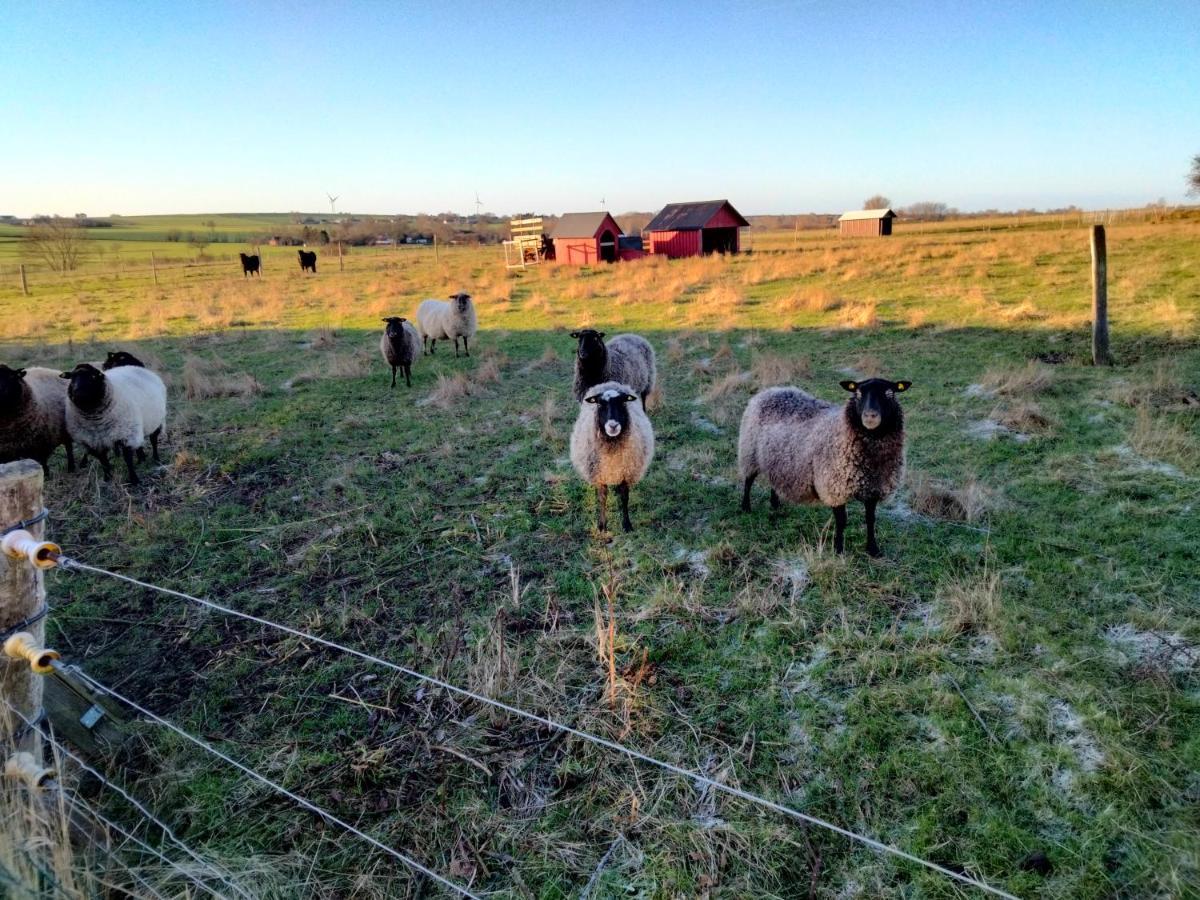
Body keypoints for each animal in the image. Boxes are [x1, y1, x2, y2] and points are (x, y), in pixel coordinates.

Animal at [568, 381, 657, 535]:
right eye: (599, 404)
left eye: (622, 402)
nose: (613, 425)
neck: (612, 449)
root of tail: (609, 382)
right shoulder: (599, 475)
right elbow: (602, 498)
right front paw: (602, 526)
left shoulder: (626, 472)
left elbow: (624, 498)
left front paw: (627, 525)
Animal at [734, 374, 912, 556]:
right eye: (858, 393)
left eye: (890, 394)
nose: (870, 416)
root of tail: (771, 390)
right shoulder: (834, 487)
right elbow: (841, 521)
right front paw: (838, 549)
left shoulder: (874, 489)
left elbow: (870, 519)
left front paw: (873, 549)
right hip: (749, 452)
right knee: (748, 480)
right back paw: (746, 506)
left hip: (778, 459)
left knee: (774, 478)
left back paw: (775, 504)